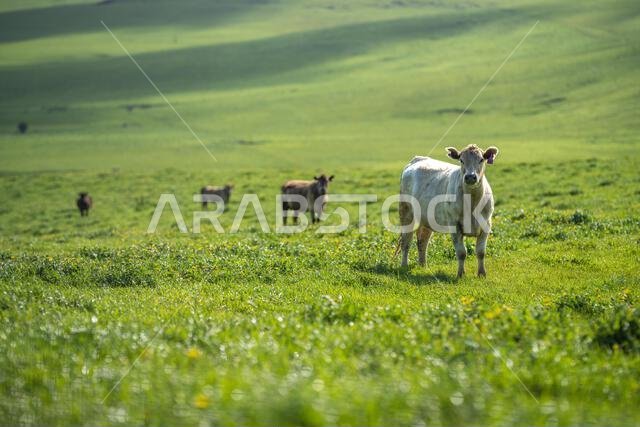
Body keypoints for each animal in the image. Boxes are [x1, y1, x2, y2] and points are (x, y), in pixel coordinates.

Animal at [399, 144, 499, 277]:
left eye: (481, 159)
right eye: (461, 160)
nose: (470, 177)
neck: (472, 202)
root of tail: (417, 159)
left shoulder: (486, 225)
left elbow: (481, 252)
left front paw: (482, 274)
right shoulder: (454, 225)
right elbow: (461, 252)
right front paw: (461, 274)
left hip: (426, 219)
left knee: (422, 242)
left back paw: (423, 266)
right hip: (406, 213)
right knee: (406, 241)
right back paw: (404, 266)